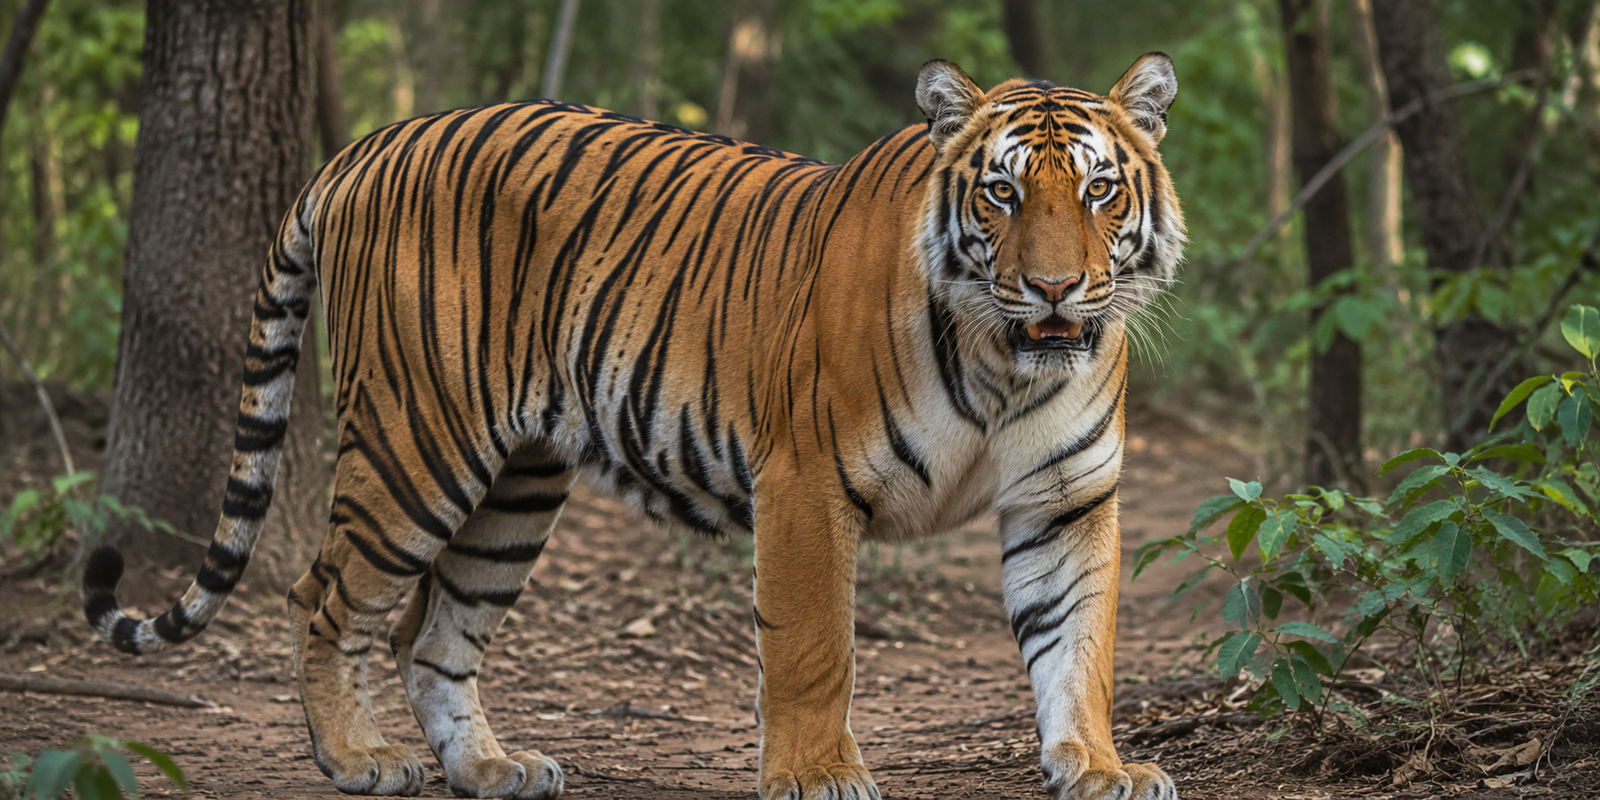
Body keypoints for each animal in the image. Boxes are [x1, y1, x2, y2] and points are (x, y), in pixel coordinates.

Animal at [81, 54, 1185, 800]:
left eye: (1098, 189)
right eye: (1001, 192)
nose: (1054, 288)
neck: (1007, 366)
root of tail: (370, 144)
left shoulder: (1067, 498)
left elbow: (1079, 643)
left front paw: (1099, 764)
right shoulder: (806, 480)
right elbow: (813, 645)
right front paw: (817, 772)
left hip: (516, 483)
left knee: (430, 629)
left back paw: (489, 766)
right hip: (415, 440)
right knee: (327, 595)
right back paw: (355, 756)